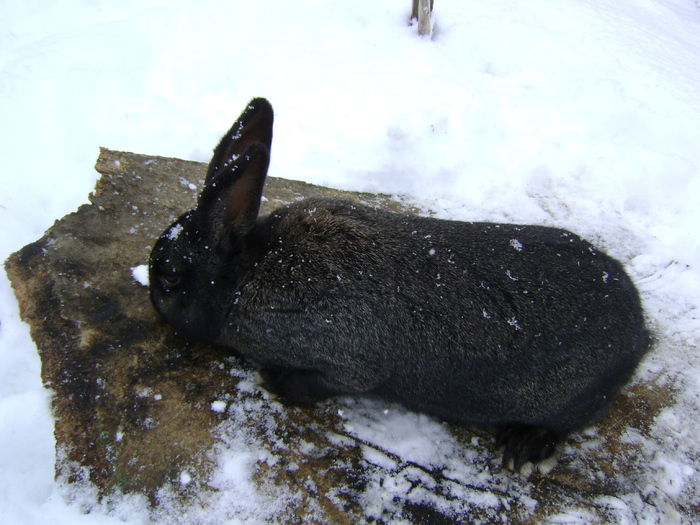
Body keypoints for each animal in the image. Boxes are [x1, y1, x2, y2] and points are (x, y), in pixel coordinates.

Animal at [149, 97, 652, 470]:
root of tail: (640, 332)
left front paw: (273, 381)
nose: (153, 299)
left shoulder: (344, 358)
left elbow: (331, 382)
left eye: (171, 276)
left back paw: (524, 446)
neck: (246, 273)